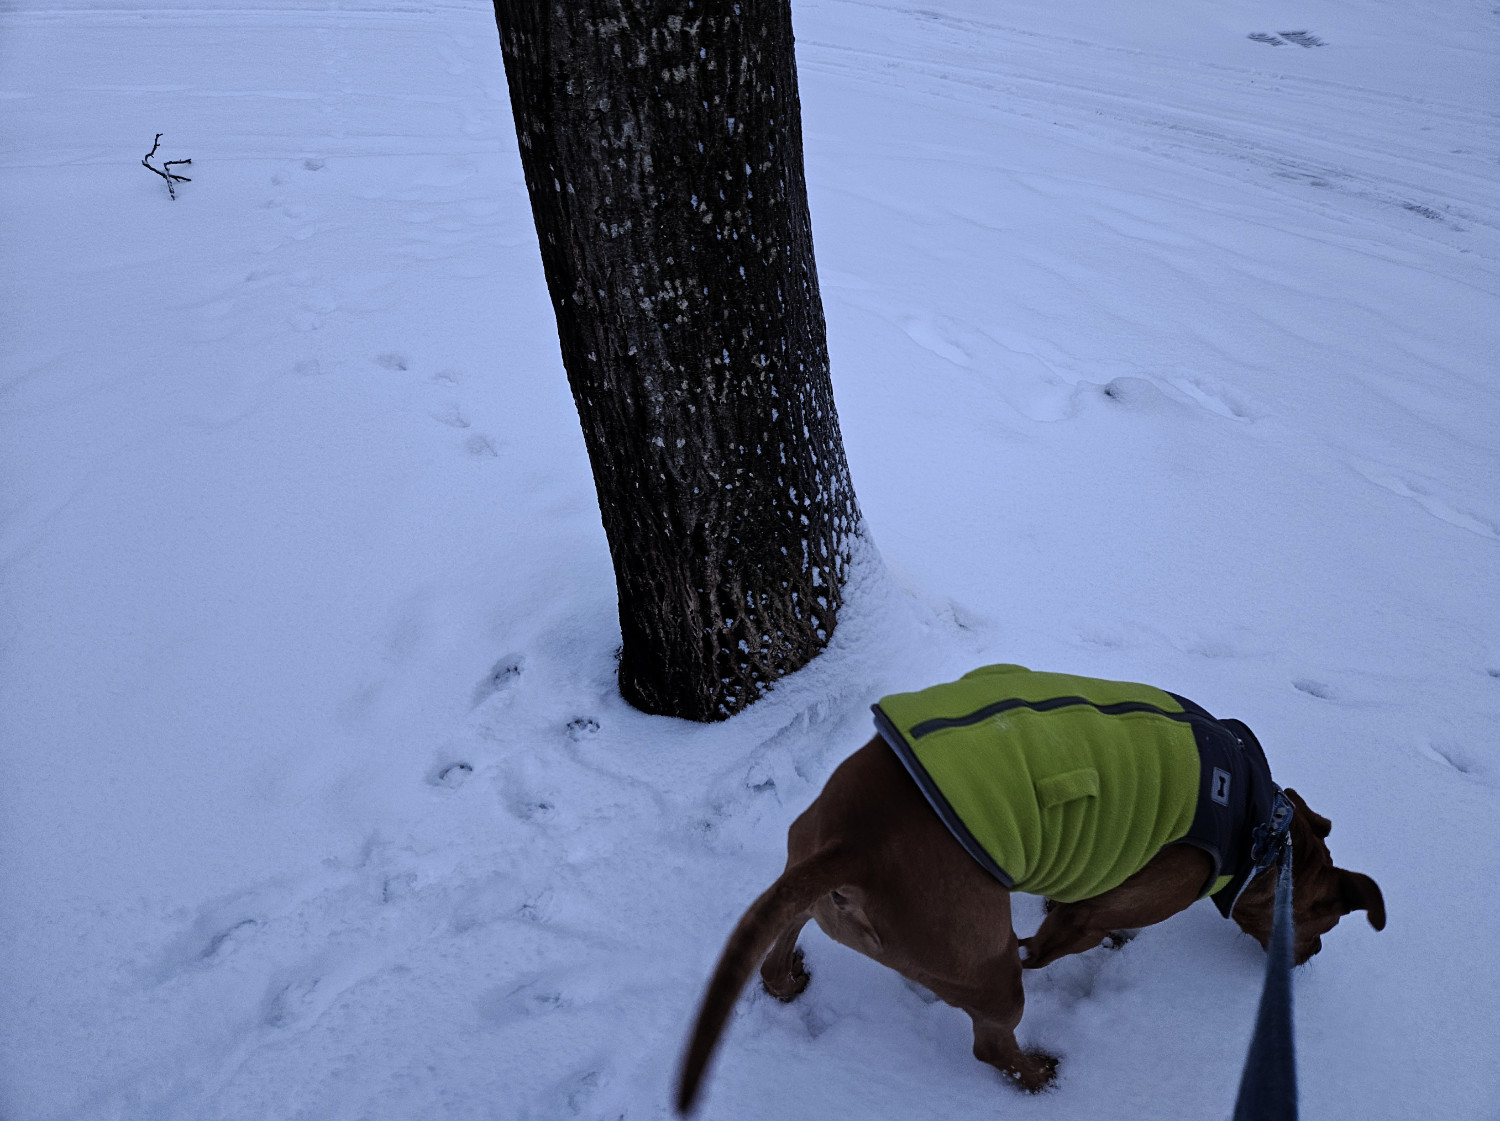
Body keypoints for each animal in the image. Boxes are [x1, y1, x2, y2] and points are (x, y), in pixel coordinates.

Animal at [678, 666, 1380, 1116]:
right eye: (1322, 925)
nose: (1308, 960)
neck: (1265, 830)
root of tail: (854, 843)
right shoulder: (1086, 916)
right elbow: (1055, 941)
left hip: (808, 866)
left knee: (785, 927)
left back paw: (784, 979)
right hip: (984, 971)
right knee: (991, 1041)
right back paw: (1039, 1076)